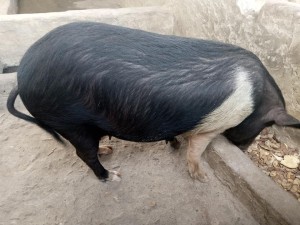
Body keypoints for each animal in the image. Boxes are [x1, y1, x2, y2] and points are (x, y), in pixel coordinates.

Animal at [7, 22, 300, 182]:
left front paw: (173, 144)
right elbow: (196, 149)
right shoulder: (214, 125)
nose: (243, 149)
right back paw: (112, 176)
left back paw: (107, 151)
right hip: (69, 122)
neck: (256, 97)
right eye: (266, 126)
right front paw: (200, 177)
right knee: (84, 154)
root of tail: (21, 75)